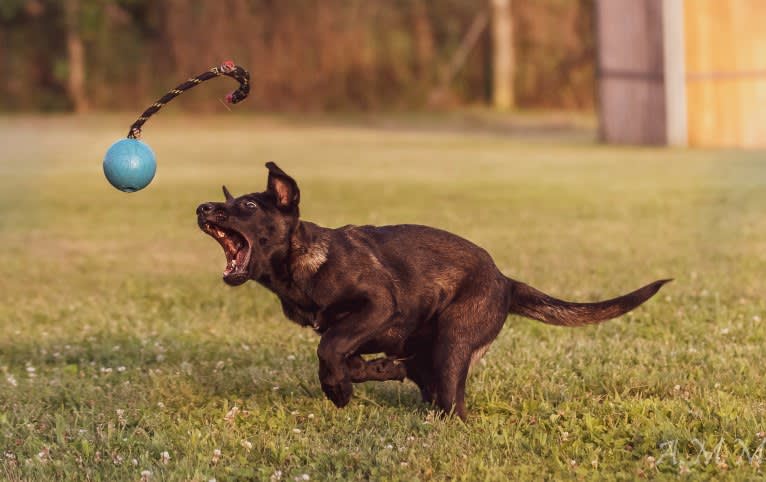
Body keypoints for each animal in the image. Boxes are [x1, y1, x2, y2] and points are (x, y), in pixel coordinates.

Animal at [198, 162, 672, 418]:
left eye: (248, 205)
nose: (202, 207)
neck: (299, 266)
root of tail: (505, 281)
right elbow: (342, 351)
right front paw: (363, 373)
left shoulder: (377, 305)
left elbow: (329, 347)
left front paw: (338, 390)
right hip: (433, 353)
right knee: (424, 381)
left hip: (453, 344)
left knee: (452, 407)